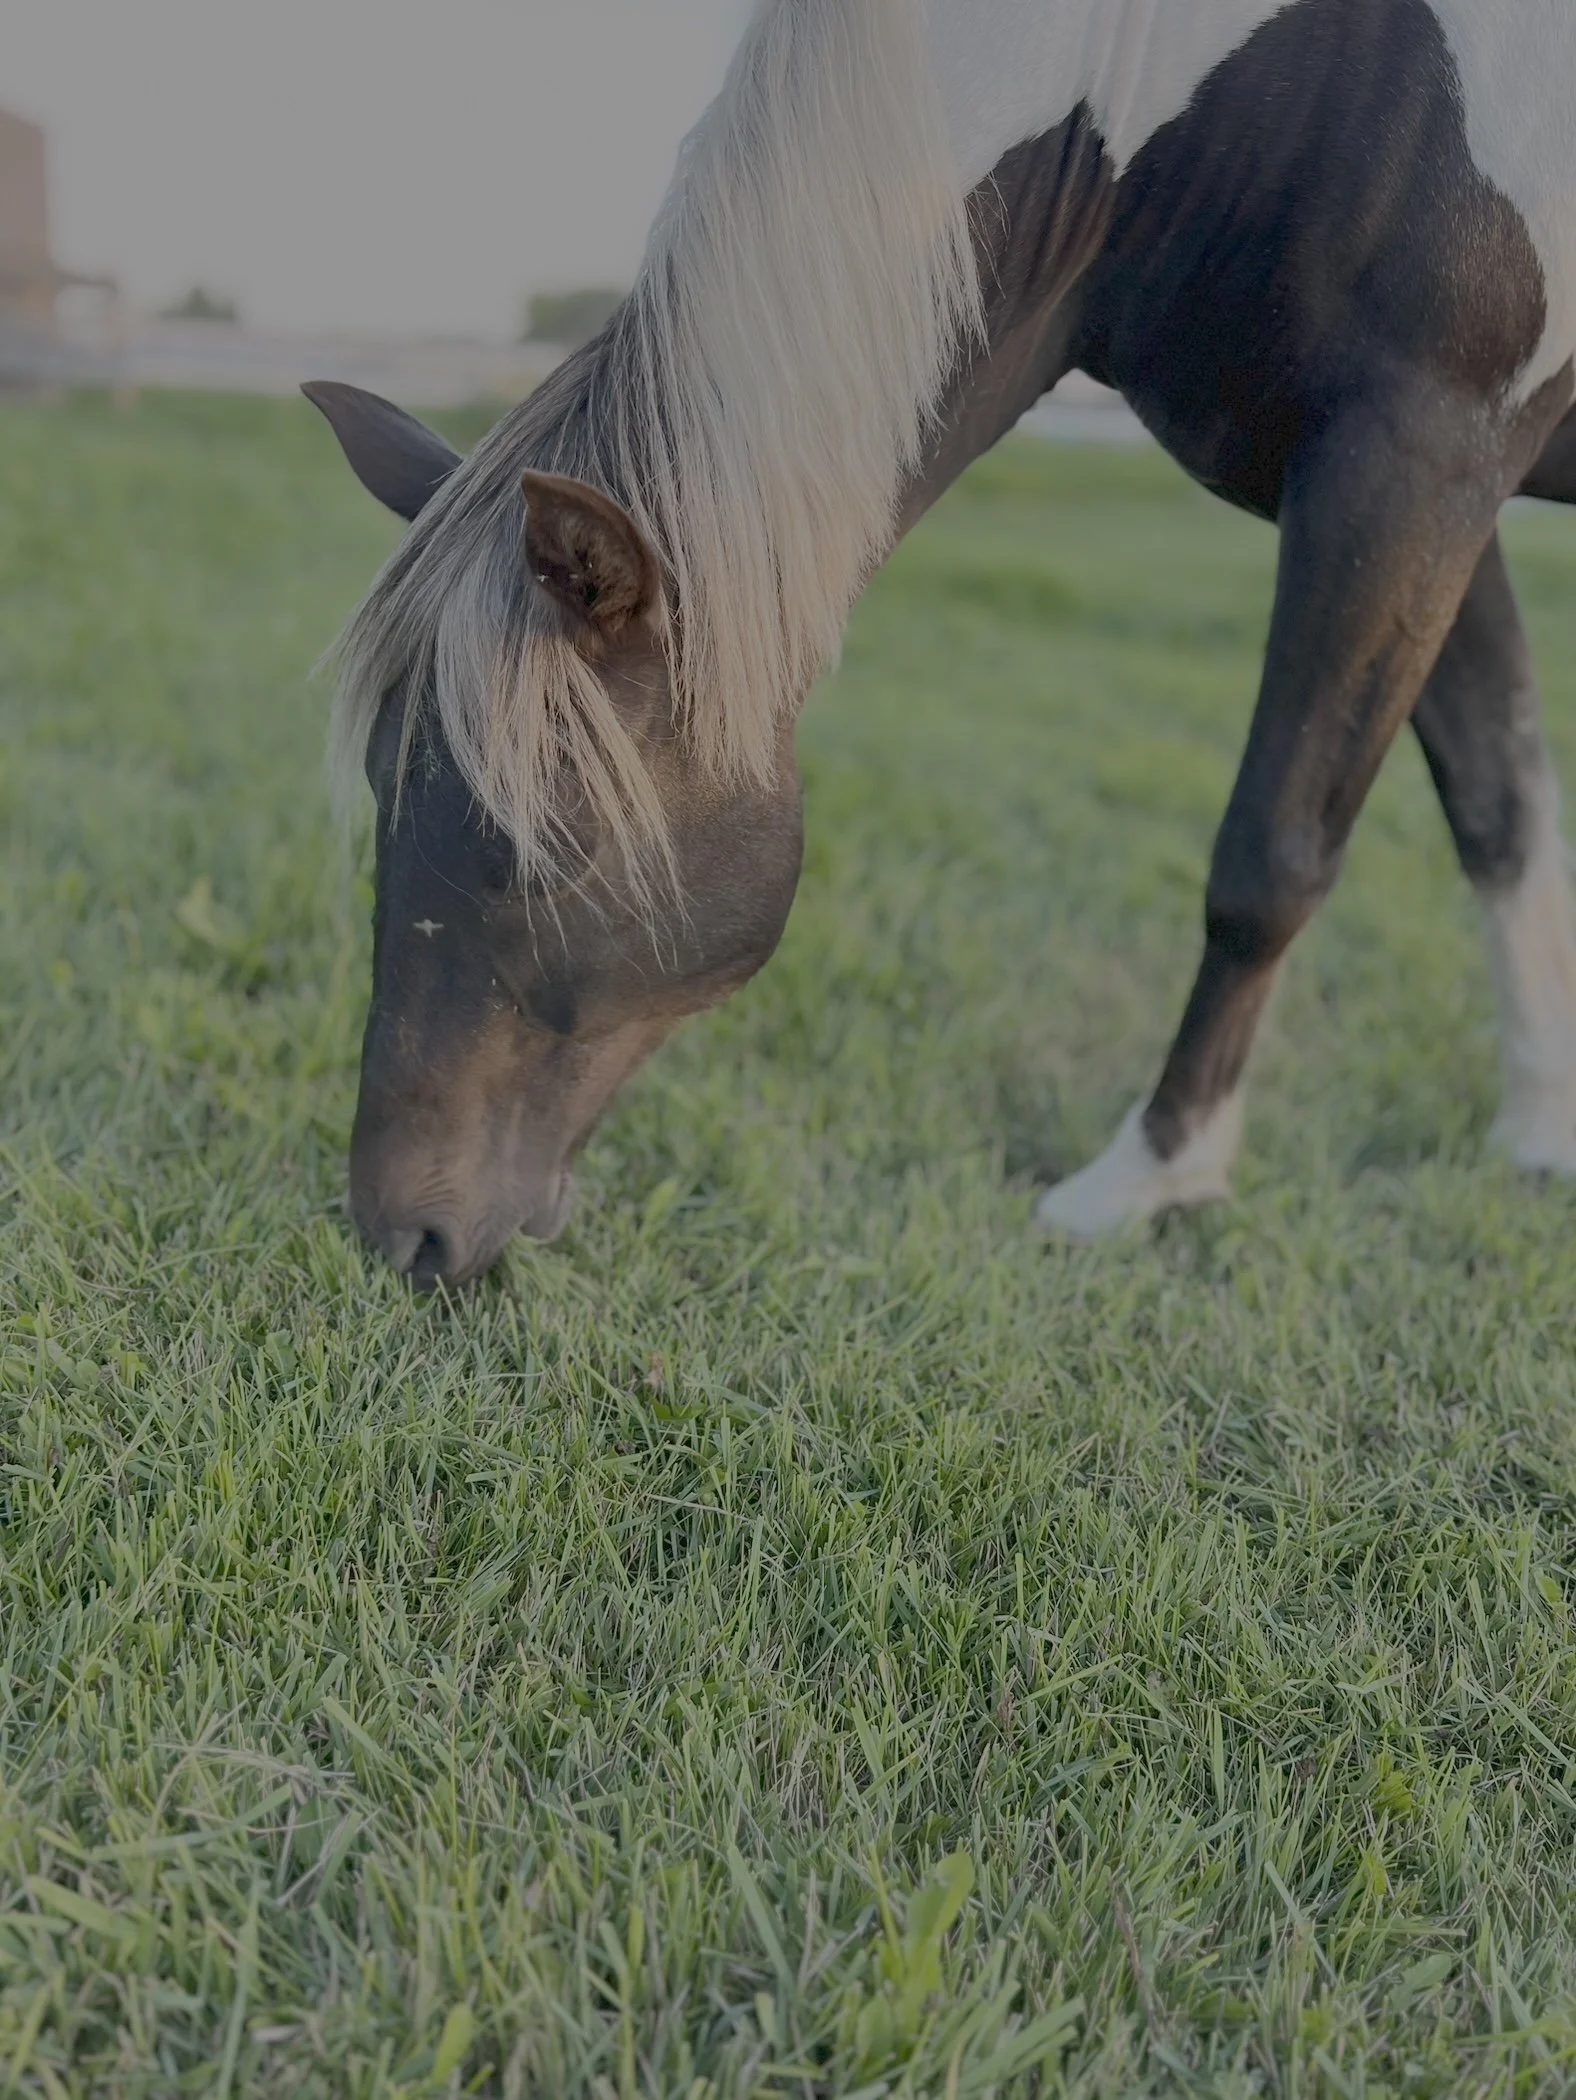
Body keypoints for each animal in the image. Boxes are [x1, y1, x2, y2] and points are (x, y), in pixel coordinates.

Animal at [307, 0, 1576, 1289]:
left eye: (542, 850)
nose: (401, 1233)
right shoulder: (1426, 490)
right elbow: (1499, 806)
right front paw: (1539, 1131)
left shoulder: (1408, 460)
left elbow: (1271, 859)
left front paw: (1152, 1173)